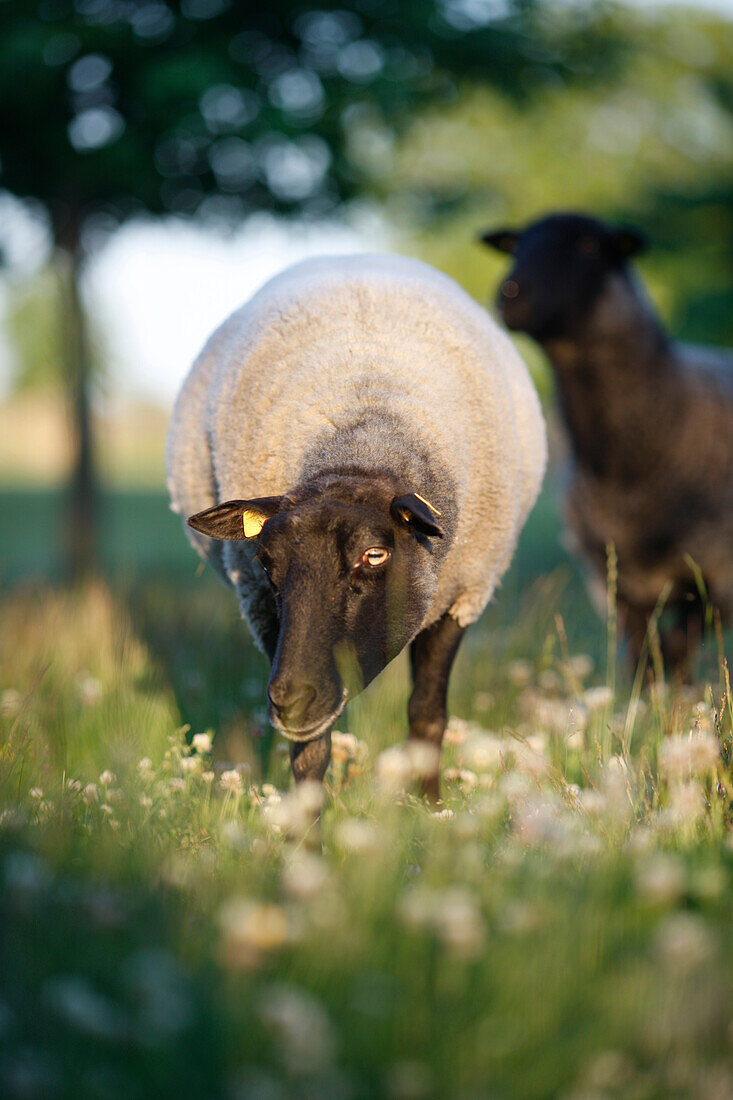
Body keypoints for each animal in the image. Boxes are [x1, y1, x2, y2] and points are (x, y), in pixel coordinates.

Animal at [163, 253, 541, 796]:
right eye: (265, 562)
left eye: (374, 555)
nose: (291, 699)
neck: (361, 453)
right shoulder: (265, 612)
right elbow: (309, 750)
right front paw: (305, 819)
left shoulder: (462, 597)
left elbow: (427, 713)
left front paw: (432, 806)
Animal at [479, 210, 730, 677]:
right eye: (517, 245)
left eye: (589, 246)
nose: (512, 293)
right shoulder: (614, 582)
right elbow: (644, 657)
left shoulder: (721, 578)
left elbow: (674, 652)